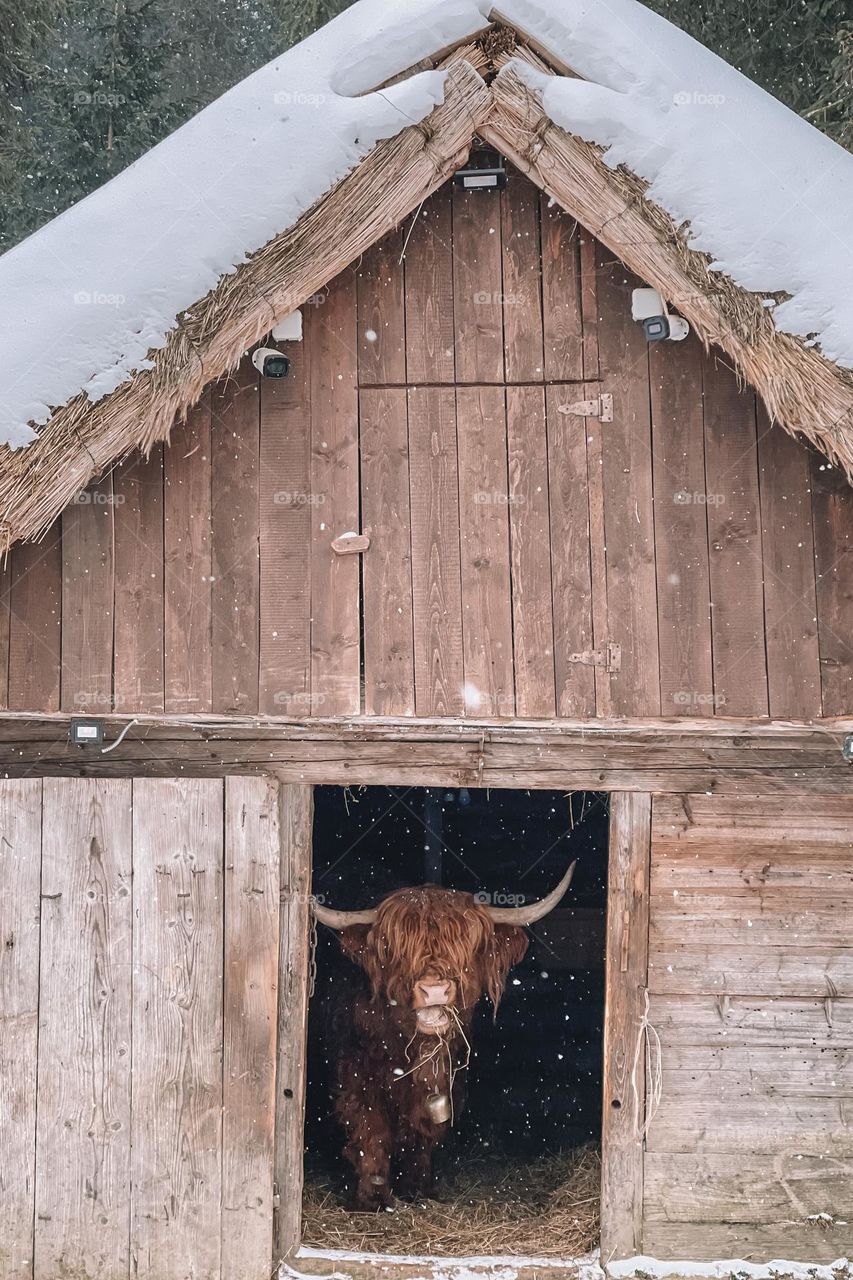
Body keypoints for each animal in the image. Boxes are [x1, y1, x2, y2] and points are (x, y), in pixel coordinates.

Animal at [313, 861, 576, 1210]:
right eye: (396, 949)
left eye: (465, 947)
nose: (434, 989)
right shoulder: (356, 1077)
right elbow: (371, 1131)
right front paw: (373, 1198)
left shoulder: (445, 1078)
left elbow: (424, 1131)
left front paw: (419, 1189)